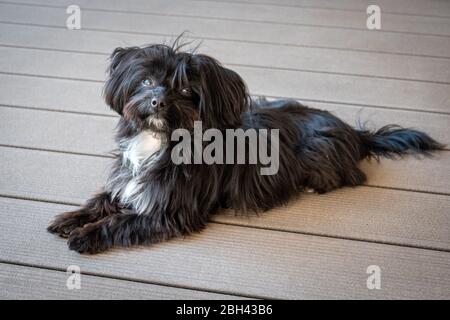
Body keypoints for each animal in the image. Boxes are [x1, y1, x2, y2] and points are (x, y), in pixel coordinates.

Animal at [48, 42, 442, 254]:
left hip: (318, 150)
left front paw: (86, 236)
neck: (160, 139)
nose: (158, 101)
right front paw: (71, 219)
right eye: (146, 81)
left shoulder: (171, 212)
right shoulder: (128, 181)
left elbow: (122, 220)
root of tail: (356, 133)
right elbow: (103, 200)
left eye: (187, 90)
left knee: (352, 175)